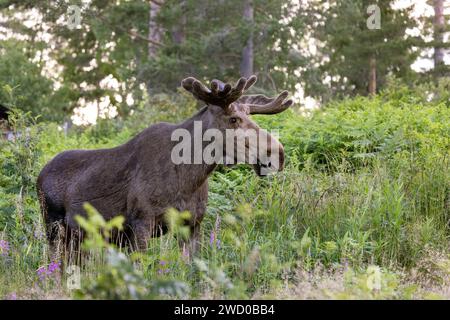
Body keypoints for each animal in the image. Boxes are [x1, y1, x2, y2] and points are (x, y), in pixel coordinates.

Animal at [37, 75, 292, 260]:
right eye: (234, 119)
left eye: (250, 116)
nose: (278, 154)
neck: (189, 178)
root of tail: (40, 175)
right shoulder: (141, 222)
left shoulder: (193, 224)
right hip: (54, 227)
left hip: (78, 238)